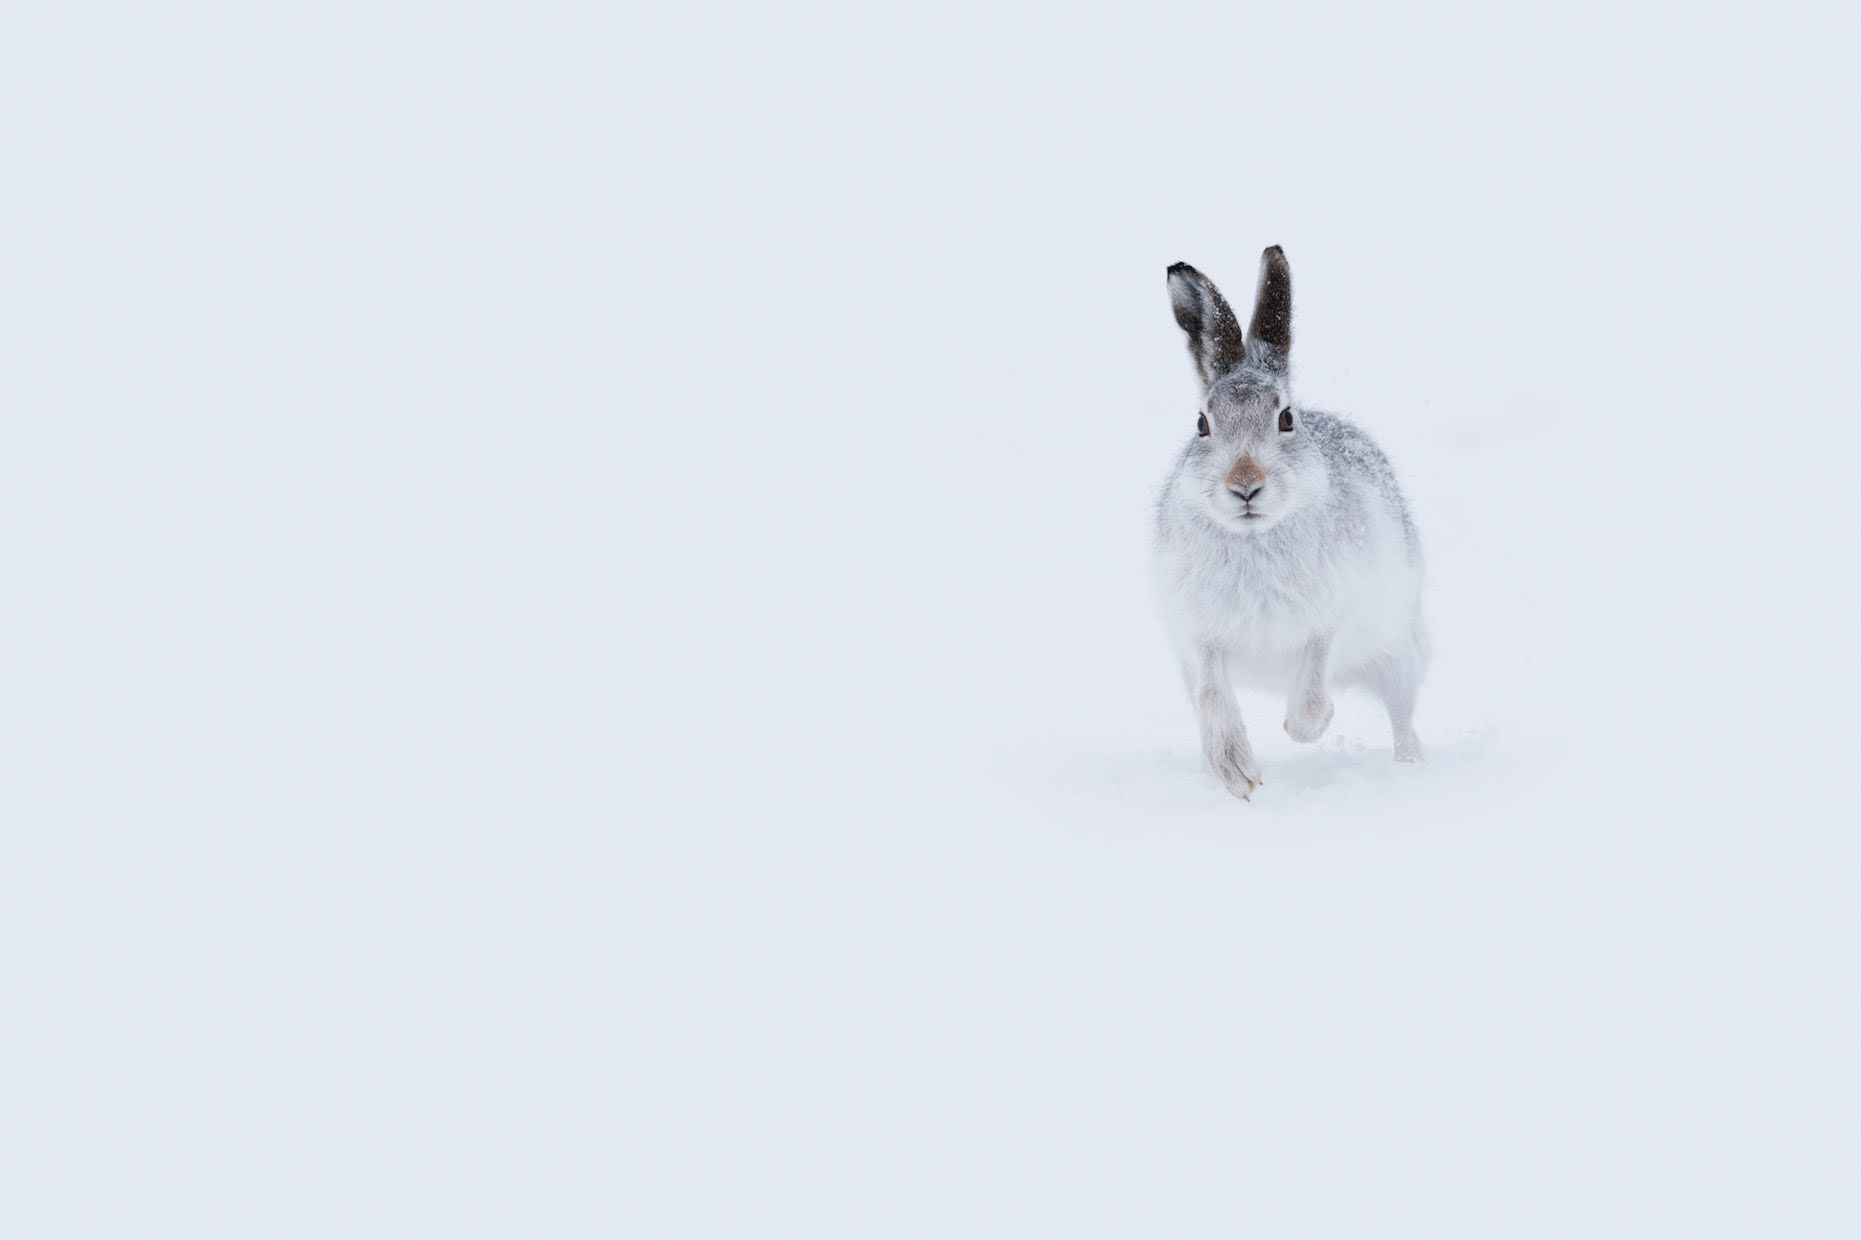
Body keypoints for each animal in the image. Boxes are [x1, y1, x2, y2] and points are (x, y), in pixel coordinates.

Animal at [1153, 246, 1427, 799]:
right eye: (1201, 424)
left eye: (1286, 418)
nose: (1245, 486)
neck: (1254, 535)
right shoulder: (1197, 633)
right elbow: (1212, 688)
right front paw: (1237, 771)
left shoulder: (1341, 609)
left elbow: (1319, 659)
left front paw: (1305, 727)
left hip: (1398, 648)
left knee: (1402, 714)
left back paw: (1409, 769)